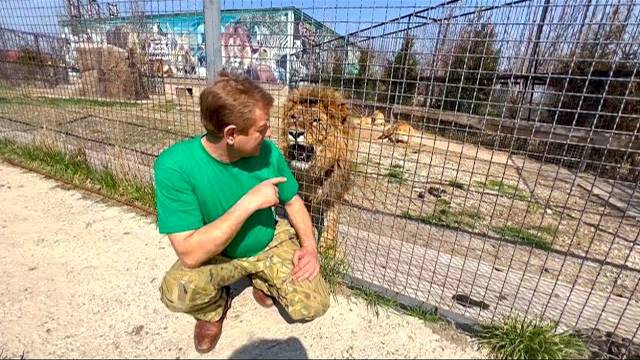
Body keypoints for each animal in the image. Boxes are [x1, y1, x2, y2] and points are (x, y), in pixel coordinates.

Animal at [278, 86, 356, 252]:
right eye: (293, 117)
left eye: (316, 120)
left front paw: (327, 249)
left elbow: (331, 223)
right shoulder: (303, 195)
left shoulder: (334, 192)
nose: (295, 133)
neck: (313, 173)